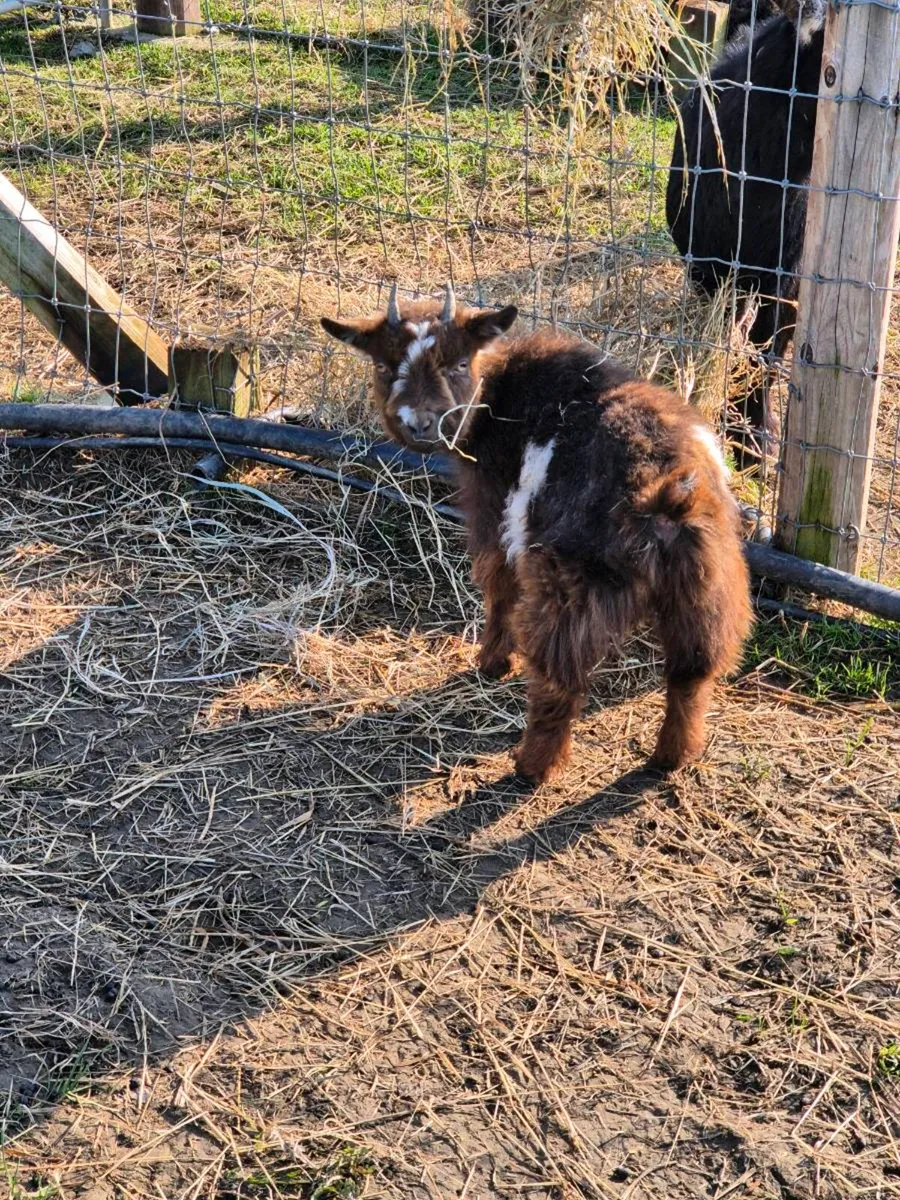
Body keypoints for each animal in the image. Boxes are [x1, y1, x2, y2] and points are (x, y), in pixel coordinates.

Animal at [322, 286, 753, 783]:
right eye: (383, 366)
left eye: (459, 363)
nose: (419, 423)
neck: (497, 400)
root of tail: (663, 492)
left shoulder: (495, 511)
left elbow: (499, 585)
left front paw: (491, 663)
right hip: (707, 587)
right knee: (692, 672)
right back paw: (671, 757)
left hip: (571, 582)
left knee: (559, 677)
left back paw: (531, 766)